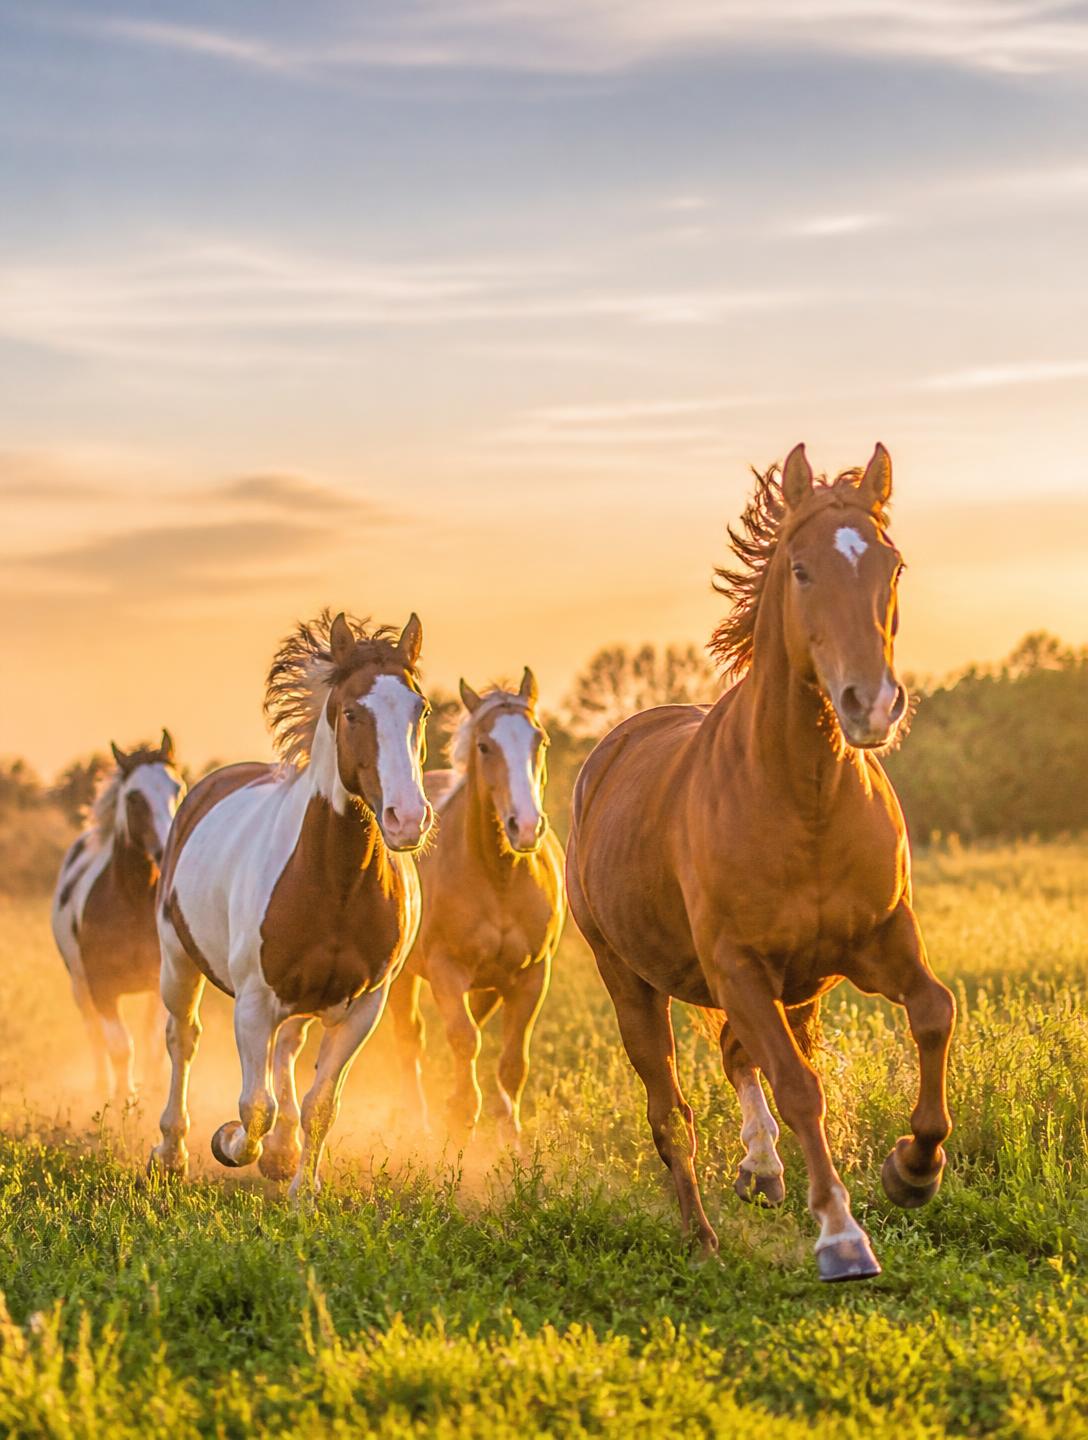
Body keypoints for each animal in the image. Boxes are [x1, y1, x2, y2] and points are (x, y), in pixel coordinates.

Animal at [51, 731, 186, 1103]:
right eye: (134, 797)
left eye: (177, 787)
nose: (168, 848)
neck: (133, 903)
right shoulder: (102, 988)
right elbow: (120, 1046)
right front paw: (124, 1097)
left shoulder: (159, 981)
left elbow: (153, 1041)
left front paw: (151, 1091)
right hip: (79, 987)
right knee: (94, 1036)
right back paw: (100, 1087)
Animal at [149, 610, 434, 1198]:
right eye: (352, 712)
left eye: (422, 709)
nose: (407, 819)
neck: (334, 882)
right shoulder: (254, 1002)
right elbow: (254, 1105)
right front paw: (230, 1143)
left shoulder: (362, 1008)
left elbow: (320, 1103)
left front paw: (304, 1191)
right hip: (177, 962)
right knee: (182, 1040)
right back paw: (171, 1153)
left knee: (287, 1050)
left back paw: (281, 1154)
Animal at [389, 669, 566, 1143]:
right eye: (485, 746)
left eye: (540, 741)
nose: (526, 827)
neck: (499, 879)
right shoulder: (445, 970)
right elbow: (464, 1039)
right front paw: (462, 1121)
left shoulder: (532, 976)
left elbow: (513, 1062)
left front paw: (513, 1139)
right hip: (404, 977)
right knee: (412, 1036)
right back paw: (418, 1118)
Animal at [566, 444, 955, 1282]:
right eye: (801, 569)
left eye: (894, 565)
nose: (872, 705)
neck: (802, 799)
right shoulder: (738, 967)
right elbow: (800, 1088)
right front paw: (842, 1237)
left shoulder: (879, 942)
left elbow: (934, 1012)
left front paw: (912, 1170)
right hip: (631, 979)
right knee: (671, 1108)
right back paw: (703, 1237)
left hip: (800, 987)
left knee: (738, 1056)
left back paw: (764, 1170)